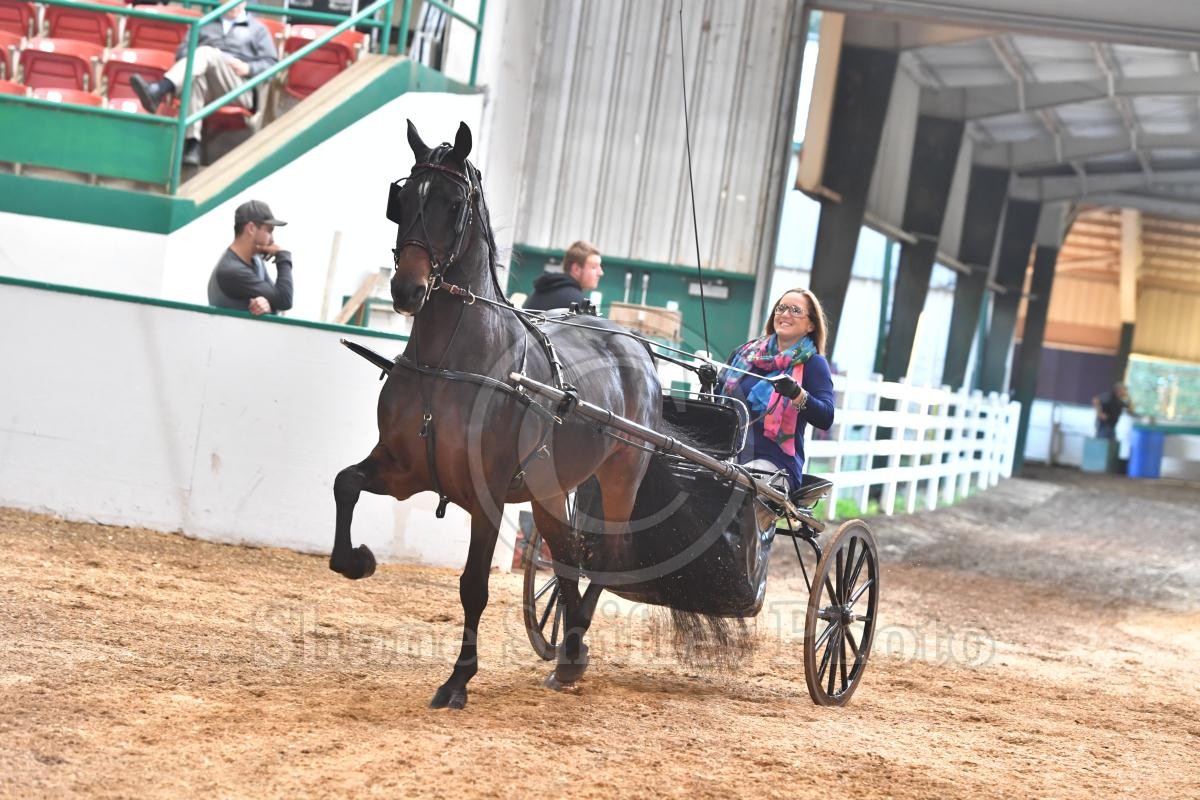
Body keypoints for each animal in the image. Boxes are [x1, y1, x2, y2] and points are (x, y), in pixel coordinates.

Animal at [328, 120, 663, 709]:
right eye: (402, 199)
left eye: (453, 202)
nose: (406, 289)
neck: (448, 362)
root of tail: (634, 344)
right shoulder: (403, 470)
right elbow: (345, 483)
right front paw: (358, 560)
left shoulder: (486, 497)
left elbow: (473, 586)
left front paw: (457, 680)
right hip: (549, 488)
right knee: (567, 551)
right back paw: (570, 653)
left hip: (621, 476)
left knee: (608, 555)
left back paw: (575, 645)